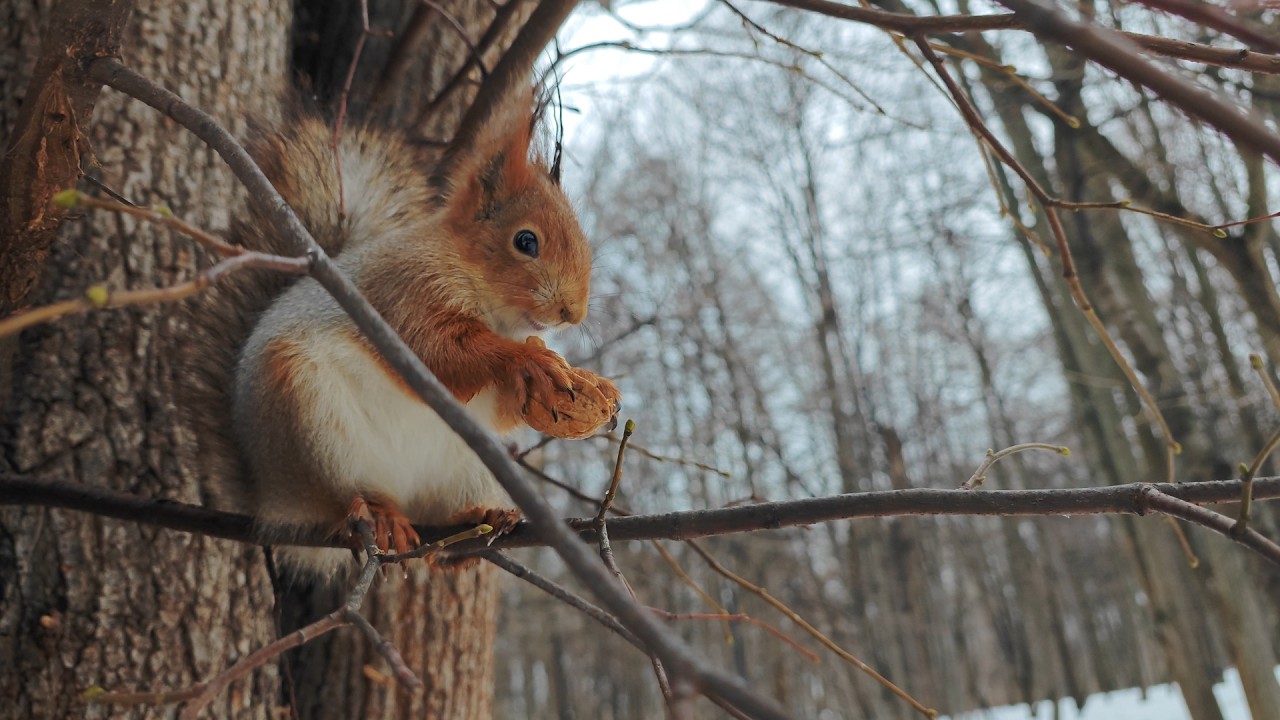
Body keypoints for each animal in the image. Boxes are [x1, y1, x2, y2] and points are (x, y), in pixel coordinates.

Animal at [186, 91, 620, 576]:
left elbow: (500, 405)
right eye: (526, 241)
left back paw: (477, 521)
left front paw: (594, 384)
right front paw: (528, 360)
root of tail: (273, 500)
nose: (572, 313)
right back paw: (380, 515)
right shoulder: (407, 292)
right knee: (344, 498)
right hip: (311, 426)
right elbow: (437, 352)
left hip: (469, 466)